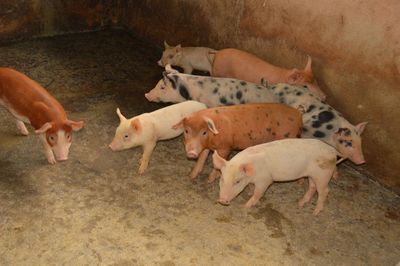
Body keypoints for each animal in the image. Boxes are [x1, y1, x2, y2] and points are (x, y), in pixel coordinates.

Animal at [173, 103, 302, 183]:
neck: (212, 138)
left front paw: (209, 180)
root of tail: (298, 114)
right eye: (186, 130)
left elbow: (216, 163)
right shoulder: (205, 147)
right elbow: (202, 158)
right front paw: (191, 176)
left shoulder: (226, 147)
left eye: (204, 132)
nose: (191, 153)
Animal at [212, 138, 344, 215]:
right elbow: (251, 188)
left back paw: (315, 212)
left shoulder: (265, 180)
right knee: (312, 187)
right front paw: (249, 192)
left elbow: (258, 193)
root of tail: (333, 151)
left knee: (325, 191)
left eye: (237, 181)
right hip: (312, 175)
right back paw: (300, 203)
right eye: (222, 178)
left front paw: (244, 206)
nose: (222, 200)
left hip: (323, 175)